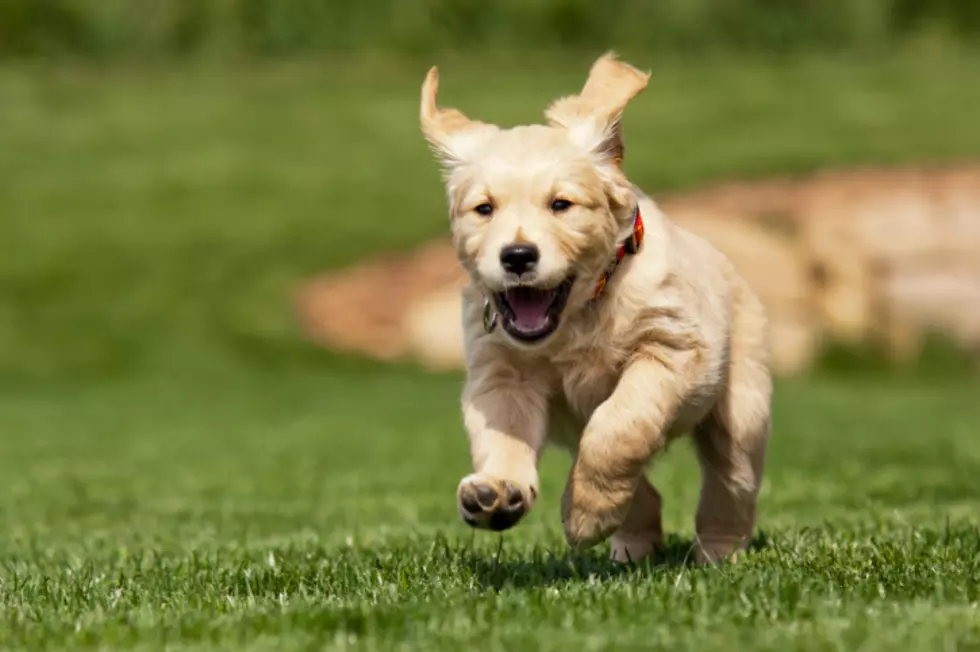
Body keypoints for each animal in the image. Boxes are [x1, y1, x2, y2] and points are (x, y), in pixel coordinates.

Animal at [422, 52, 772, 564]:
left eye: (561, 204)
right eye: (484, 209)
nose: (517, 256)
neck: (579, 314)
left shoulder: (672, 350)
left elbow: (619, 424)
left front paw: (587, 514)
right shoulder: (502, 374)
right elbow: (505, 434)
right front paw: (498, 492)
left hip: (741, 405)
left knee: (732, 482)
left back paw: (716, 554)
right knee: (644, 492)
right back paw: (632, 546)